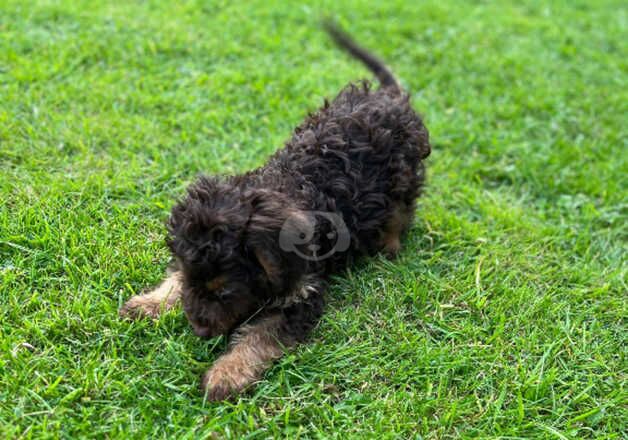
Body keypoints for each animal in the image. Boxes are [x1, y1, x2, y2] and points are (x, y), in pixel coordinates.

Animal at [120, 24, 430, 402]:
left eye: (225, 291)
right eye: (193, 281)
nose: (199, 330)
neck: (282, 188)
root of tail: (390, 96)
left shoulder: (300, 296)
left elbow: (259, 335)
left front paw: (226, 373)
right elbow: (175, 279)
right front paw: (151, 302)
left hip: (405, 172)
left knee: (403, 208)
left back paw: (389, 243)